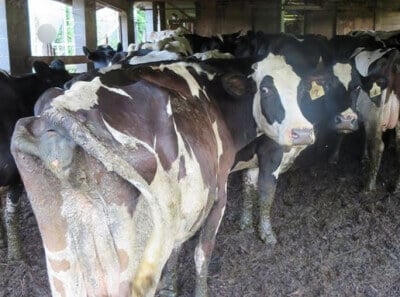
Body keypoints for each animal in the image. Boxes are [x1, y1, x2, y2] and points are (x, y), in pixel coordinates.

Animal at [10, 53, 314, 296]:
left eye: (302, 90)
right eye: (266, 89)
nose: (303, 132)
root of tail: (59, 110)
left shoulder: (183, 205)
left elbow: (177, 252)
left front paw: (170, 287)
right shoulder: (218, 195)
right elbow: (202, 253)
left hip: (63, 261)